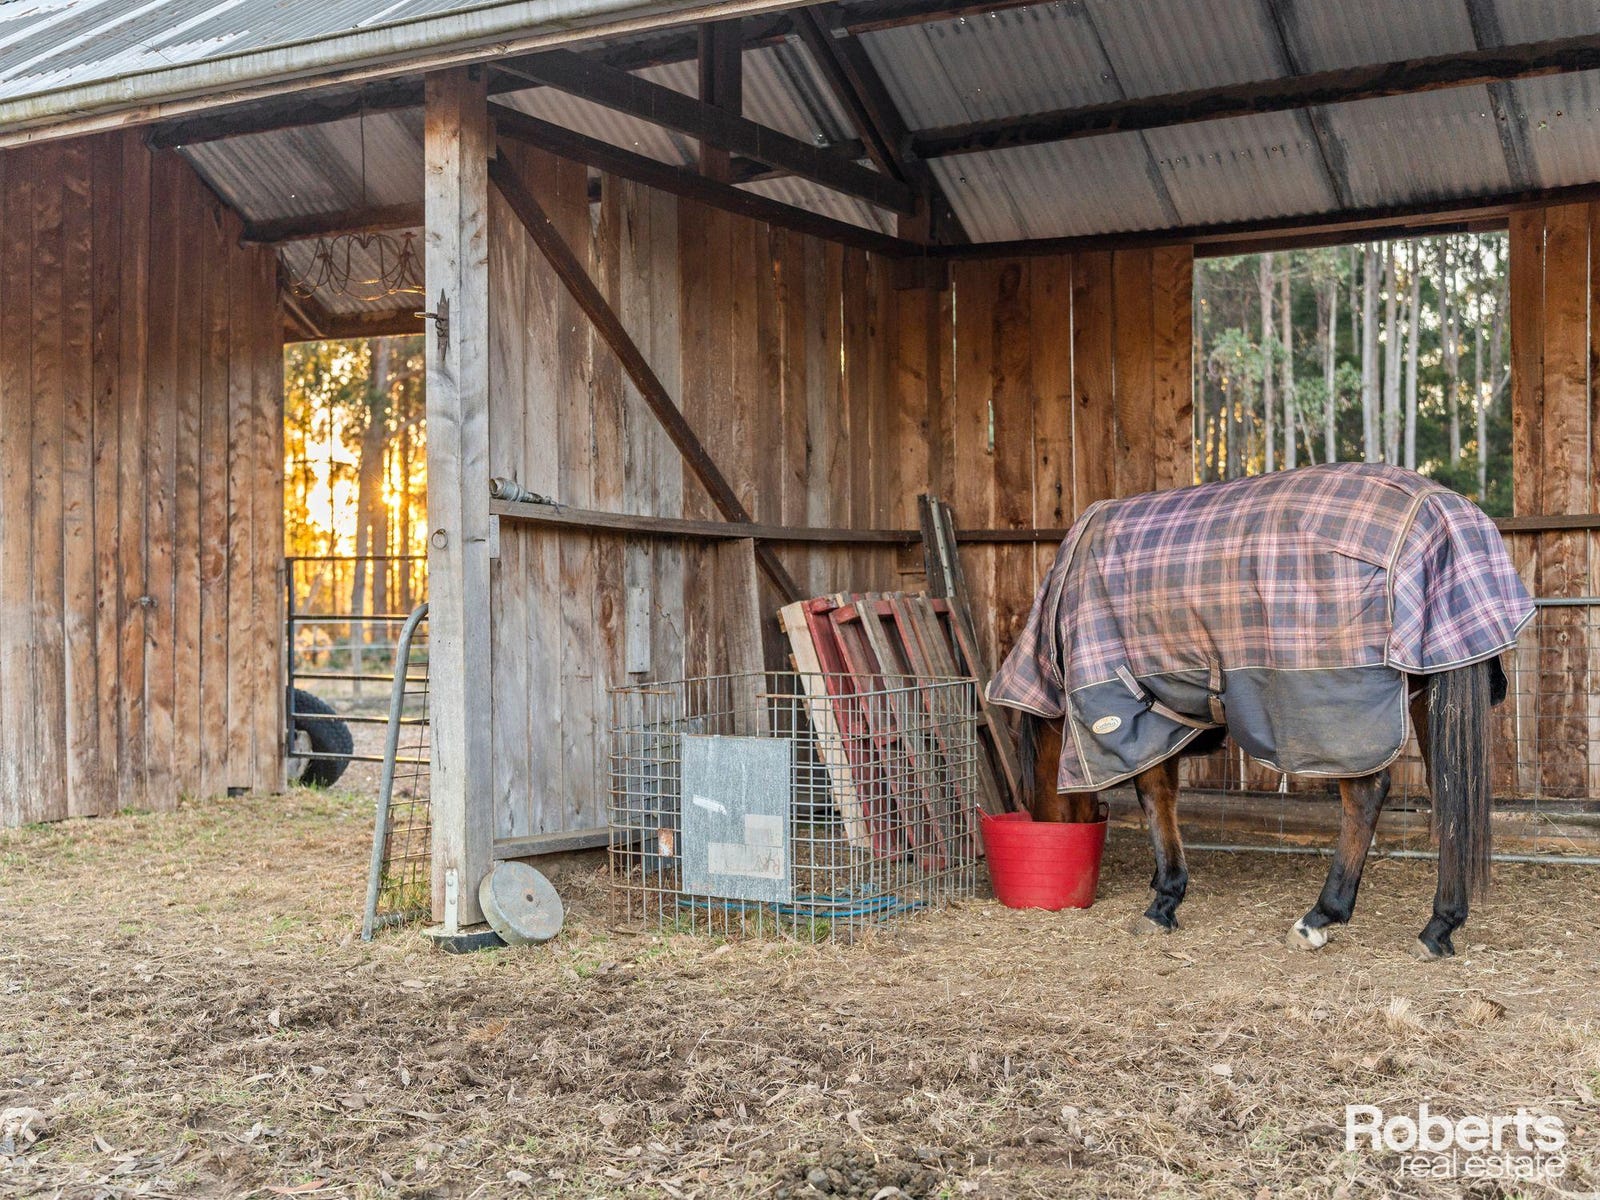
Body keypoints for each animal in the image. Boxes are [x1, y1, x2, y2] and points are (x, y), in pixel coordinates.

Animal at [990, 464, 1530, 961]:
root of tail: (1441, 515)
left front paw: (1164, 900)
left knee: (1366, 796)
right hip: (1431, 685)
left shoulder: (1138, 715)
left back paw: (1320, 917)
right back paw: (1440, 925)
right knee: (1448, 792)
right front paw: (1163, 889)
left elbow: (1155, 796)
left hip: (1340, 712)